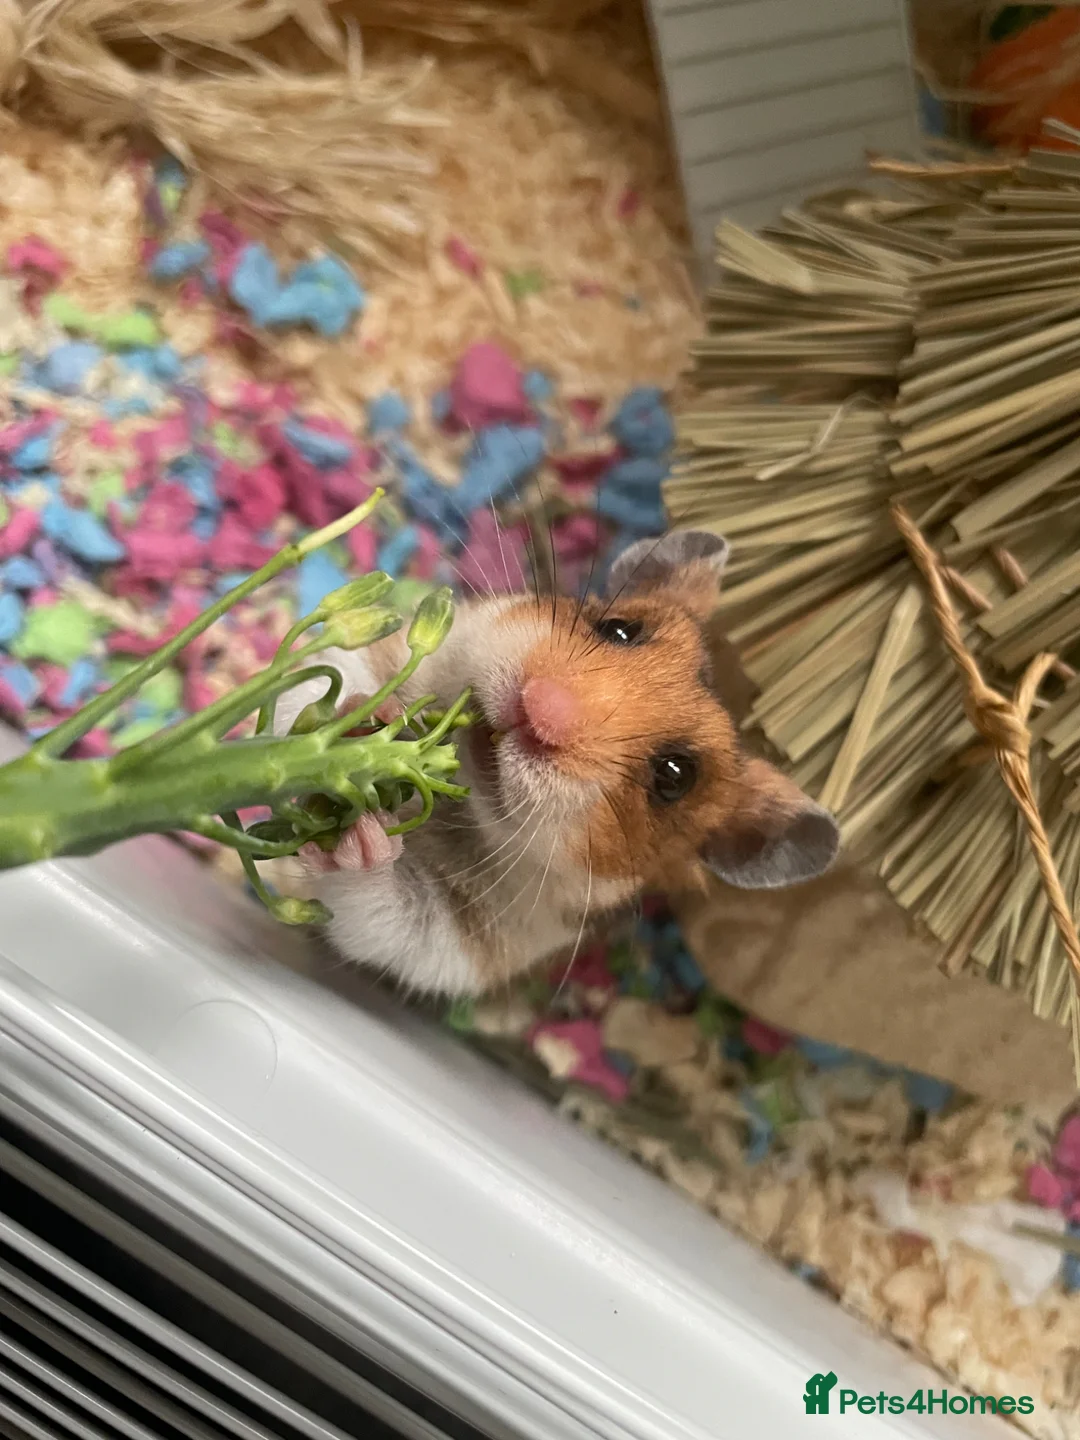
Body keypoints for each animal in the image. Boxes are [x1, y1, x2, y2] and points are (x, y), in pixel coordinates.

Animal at [272, 530, 840, 997]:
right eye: (619, 629)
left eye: (675, 776)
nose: (539, 708)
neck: (466, 812)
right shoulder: (390, 651)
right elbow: (312, 689)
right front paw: (358, 721)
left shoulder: (460, 942)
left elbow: (385, 913)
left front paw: (361, 837)